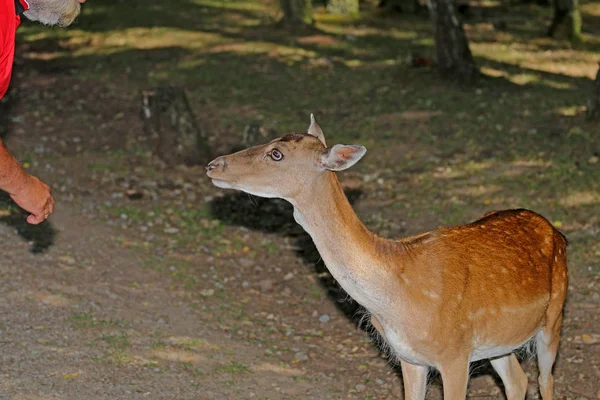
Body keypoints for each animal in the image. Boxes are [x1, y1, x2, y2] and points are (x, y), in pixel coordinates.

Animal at [206, 115, 568, 400]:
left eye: (276, 153)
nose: (213, 164)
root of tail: (555, 231)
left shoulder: (455, 353)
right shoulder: (410, 358)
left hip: (554, 315)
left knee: (545, 381)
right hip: (500, 341)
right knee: (518, 380)